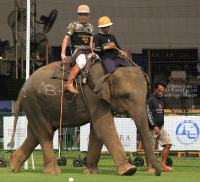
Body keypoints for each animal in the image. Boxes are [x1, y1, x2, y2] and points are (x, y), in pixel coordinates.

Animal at [7, 60, 161, 176]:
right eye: (126, 96)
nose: (156, 172)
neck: (110, 71)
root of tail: (22, 88)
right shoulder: (93, 94)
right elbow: (103, 127)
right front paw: (128, 170)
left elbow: (97, 130)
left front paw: (93, 172)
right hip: (33, 102)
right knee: (45, 133)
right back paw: (53, 172)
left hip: (35, 106)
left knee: (35, 134)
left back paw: (13, 164)